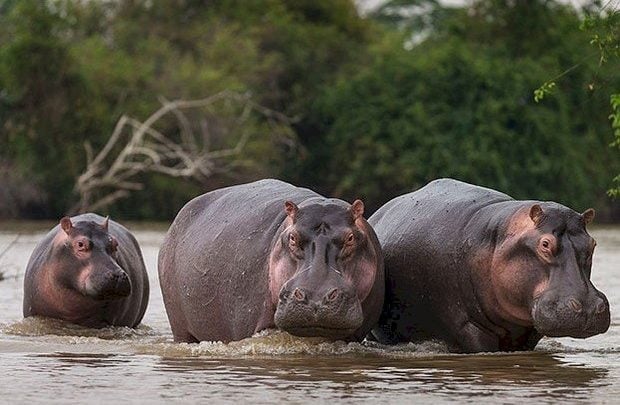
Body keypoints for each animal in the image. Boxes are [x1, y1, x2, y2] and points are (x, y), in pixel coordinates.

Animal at [368, 178, 612, 352]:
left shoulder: (529, 330)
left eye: (592, 243)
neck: (500, 236)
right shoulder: (466, 325)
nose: (589, 307)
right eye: (545, 244)